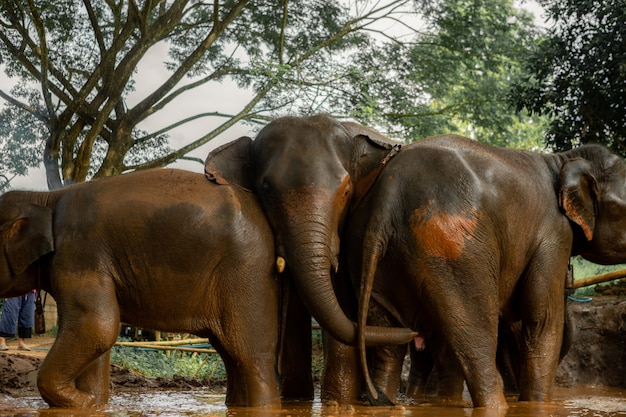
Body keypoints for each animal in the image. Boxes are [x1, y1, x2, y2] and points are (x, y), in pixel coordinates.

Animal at [0, 168, 280, 406]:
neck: (45, 198)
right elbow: (98, 335)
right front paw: (93, 403)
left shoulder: (79, 255)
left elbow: (96, 326)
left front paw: (81, 402)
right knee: (230, 353)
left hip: (247, 271)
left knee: (250, 355)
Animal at [205, 115, 416, 402]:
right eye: (266, 190)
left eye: (347, 190)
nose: (412, 333)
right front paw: (296, 400)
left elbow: (341, 297)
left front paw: (337, 402)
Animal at [346, 135, 626, 408]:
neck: (564, 159)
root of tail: (387, 198)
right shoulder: (555, 232)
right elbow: (543, 318)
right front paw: (536, 405)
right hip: (455, 251)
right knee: (476, 332)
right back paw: (496, 404)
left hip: (372, 258)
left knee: (389, 343)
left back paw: (385, 400)